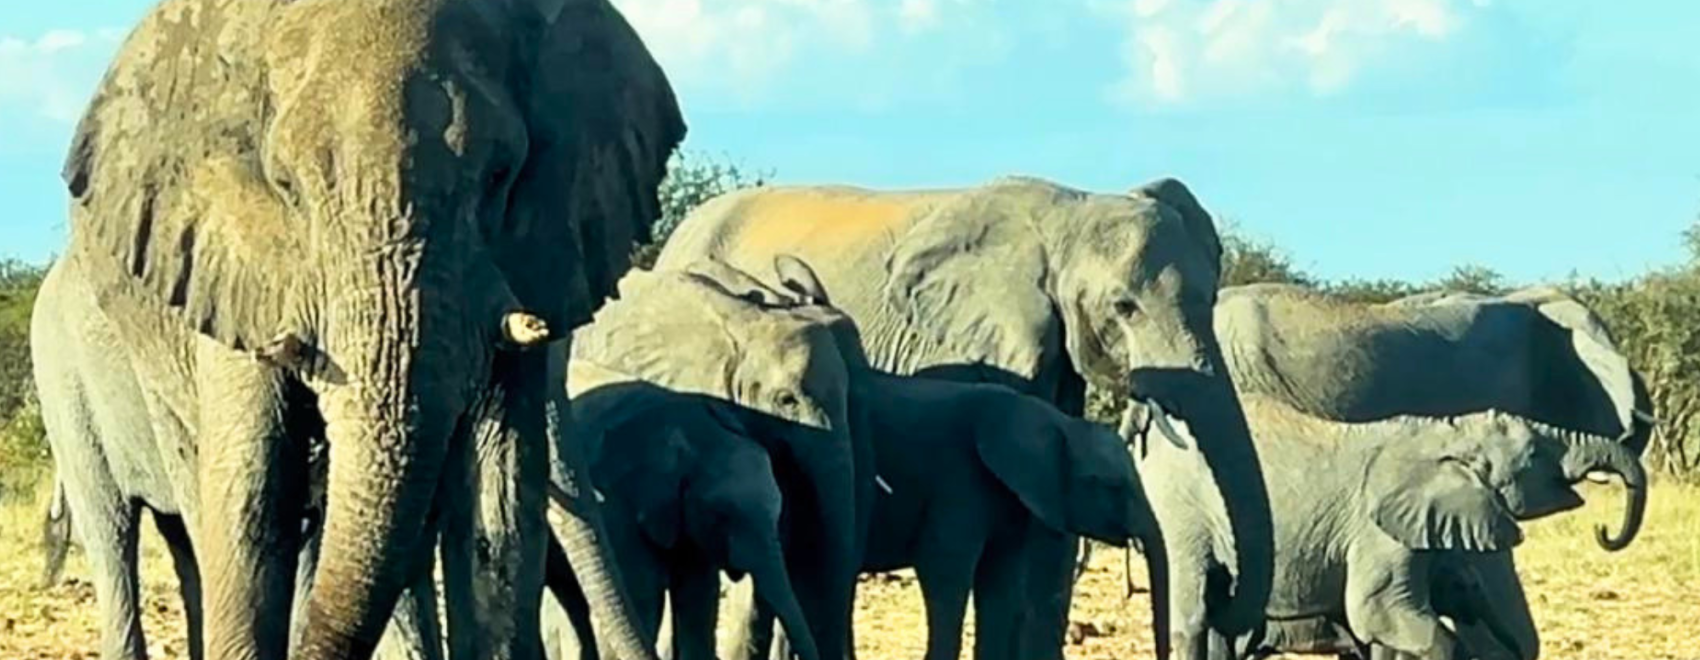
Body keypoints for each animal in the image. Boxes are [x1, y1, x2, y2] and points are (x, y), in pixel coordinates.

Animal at [29, 0, 684, 658]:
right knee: (128, 526)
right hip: (73, 382)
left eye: (500, 176)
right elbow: (252, 501)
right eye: (286, 186)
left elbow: (498, 506)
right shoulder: (231, 267)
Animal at [655, 176, 1276, 658]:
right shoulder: (971, 347)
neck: (1068, 215)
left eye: (1210, 300)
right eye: (1124, 307)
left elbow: (1047, 535)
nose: (1226, 599)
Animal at [1133, 394, 1639, 659]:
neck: (1445, 432)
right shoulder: (1375, 529)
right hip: (1181, 511)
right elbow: (1377, 612)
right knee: (1192, 615)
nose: (1605, 532)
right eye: (1536, 453)